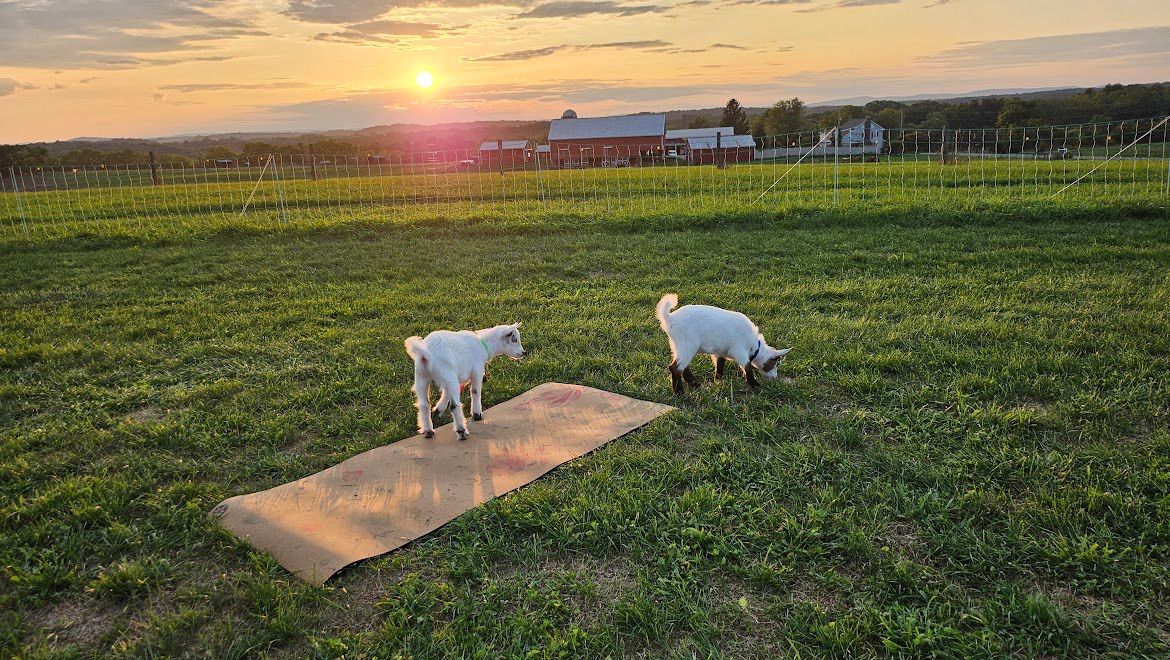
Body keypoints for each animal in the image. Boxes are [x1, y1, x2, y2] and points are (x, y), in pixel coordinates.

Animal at [655, 292, 790, 395]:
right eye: (777, 364)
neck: (753, 345)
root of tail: (670, 318)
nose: (775, 378)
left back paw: (695, 384)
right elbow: (747, 367)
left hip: (677, 346)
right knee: (675, 368)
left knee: (683, 368)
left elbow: (720, 365)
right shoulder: (740, 351)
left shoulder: (719, 352)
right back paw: (679, 392)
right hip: (687, 346)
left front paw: (718, 381)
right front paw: (755, 385)